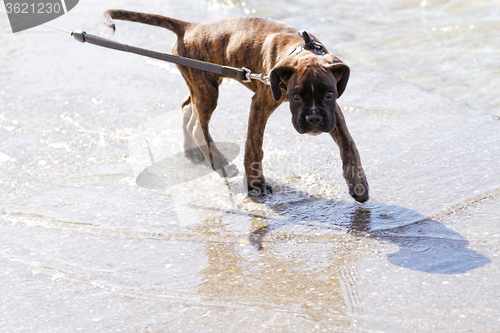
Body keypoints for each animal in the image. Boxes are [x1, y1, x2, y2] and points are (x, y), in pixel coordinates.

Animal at [101, 10, 370, 201]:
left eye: (329, 94)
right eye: (295, 96)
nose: (313, 120)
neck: (300, 51)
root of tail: (189, 26)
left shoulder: (333, 113)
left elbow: (349, 145)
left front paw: (358, 184)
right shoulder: (260, 104)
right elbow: (254, 147)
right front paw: (256, 185)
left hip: (201, 83)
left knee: (188, 109)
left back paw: (192, 151)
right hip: (208, 89)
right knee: (199, 125)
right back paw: (219, 163)